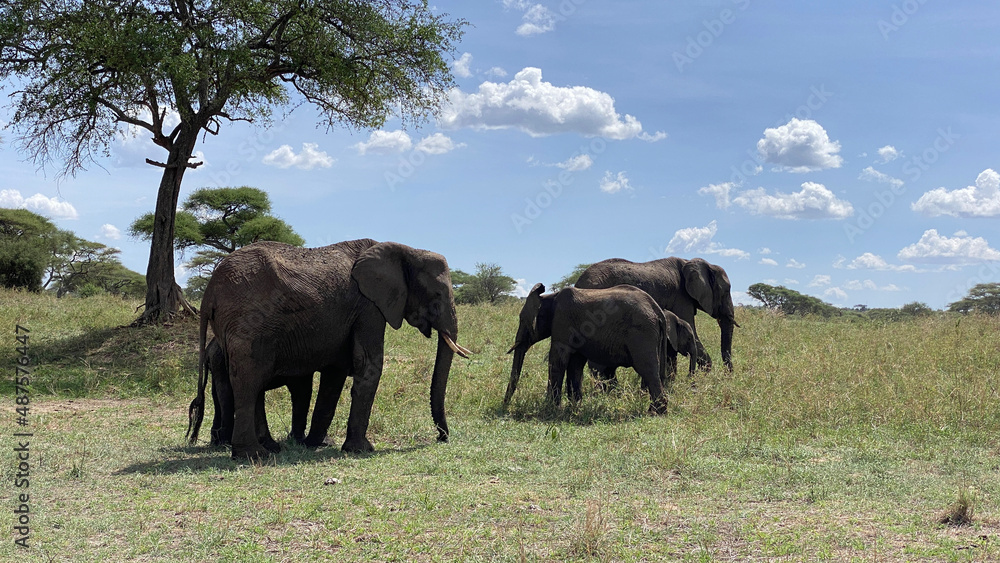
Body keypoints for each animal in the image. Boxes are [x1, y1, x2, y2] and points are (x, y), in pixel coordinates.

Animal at [192, 236, 472, 460]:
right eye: (437, 295)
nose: (441, 438)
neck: (405, 249)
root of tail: (208, 293)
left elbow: (335, 374)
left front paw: (315, 444)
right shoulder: (368, 306)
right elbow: (369, 364)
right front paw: (361, 450)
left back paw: (267, 448)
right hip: (248, 321)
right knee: (249, 381)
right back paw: (253, 455)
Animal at [500, 284, 680, 412]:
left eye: (522, 320)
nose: (504, 405)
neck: (549, 297)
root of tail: (658, 310)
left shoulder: (562, 321)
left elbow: (558, 359)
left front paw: (551, 408)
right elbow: (575, 364)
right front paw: (574, 407)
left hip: (642, 332)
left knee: (647, 369)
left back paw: (655, 412)